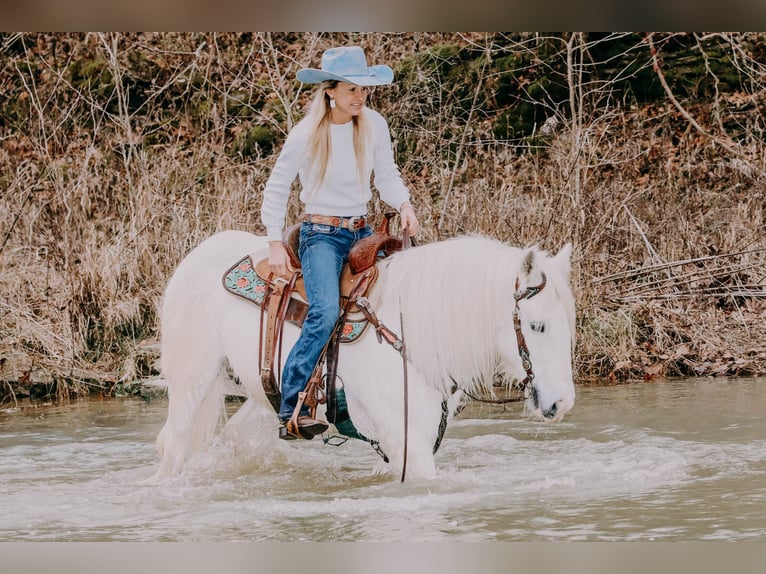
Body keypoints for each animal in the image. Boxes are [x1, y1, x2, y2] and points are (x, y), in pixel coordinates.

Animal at [156, 230, 576, 482]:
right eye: (537, 326)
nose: (562, 404)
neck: (410, 333)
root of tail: (200, 252)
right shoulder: (409, 447)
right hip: (191, 380)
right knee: (173, 445)